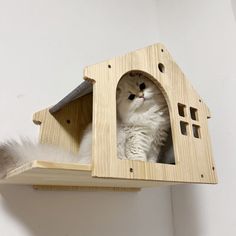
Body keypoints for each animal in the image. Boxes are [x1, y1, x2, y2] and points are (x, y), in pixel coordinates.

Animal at [0, 73, 171, 178]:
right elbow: (138, 157)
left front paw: (153, 167)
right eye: (131, 97)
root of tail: (79, 162)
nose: (142, 96)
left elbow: (152, 159)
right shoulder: (136, 138)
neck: (149, 114)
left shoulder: (156, 140)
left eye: (142, 86)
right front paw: (143, 167)